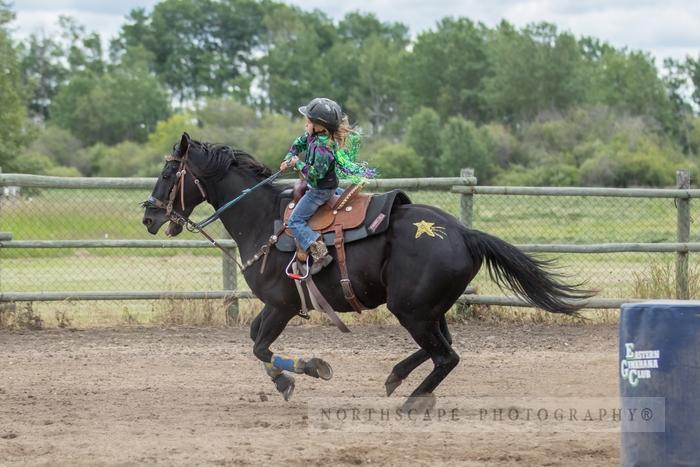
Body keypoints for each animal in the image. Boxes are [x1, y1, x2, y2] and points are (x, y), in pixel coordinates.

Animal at [144, 133, 596, 412]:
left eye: (167, 174)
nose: (149, 216)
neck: (262, 219)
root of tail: (464, 233)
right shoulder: (277, 306)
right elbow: (255, 340)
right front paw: (285, 381)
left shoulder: (282, 304)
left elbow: (258, 344)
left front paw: (309, 371)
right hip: (427, 308)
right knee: (443, 349)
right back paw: (396, 377)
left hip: (411, 309)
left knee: (446, 355)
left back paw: (411, 399)